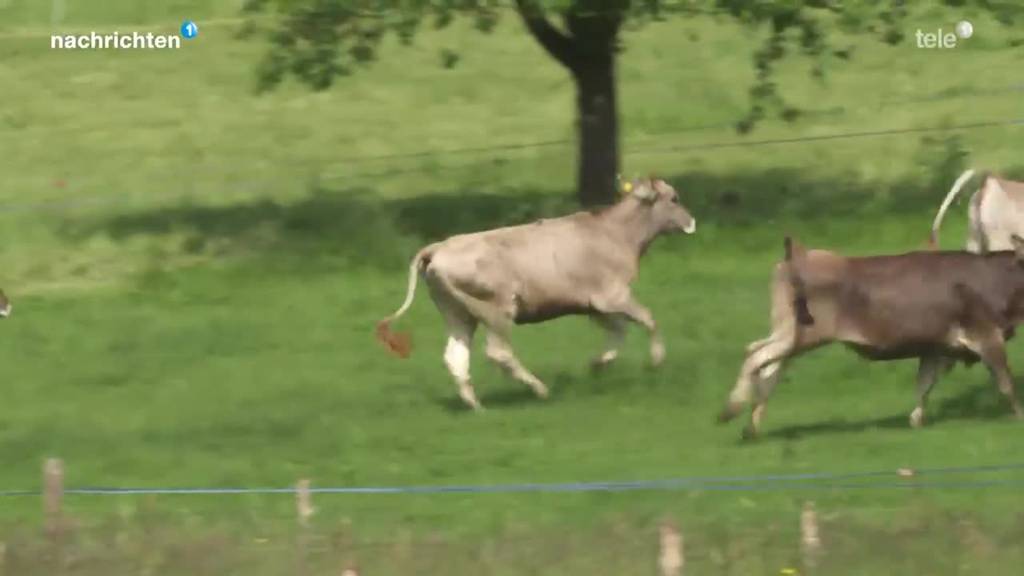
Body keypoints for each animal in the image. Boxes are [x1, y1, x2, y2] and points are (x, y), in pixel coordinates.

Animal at [376, 177, 696, 409]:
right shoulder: (612, 296)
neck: (614, 233)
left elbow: (618, 331)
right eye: (674, 199)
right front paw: (656, 360)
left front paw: (598, 363)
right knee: (498, 353)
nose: (692, 221)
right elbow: (648, 319)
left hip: (458, 314)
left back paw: (475, 405)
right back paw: (540, 390)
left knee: (455, 356)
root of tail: (439, 247)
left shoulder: (594, 306)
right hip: (496, 309)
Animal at [716, 233, 1024, 434]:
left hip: (788, 332)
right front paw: (1019, 416)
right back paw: (731, 408)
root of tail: (800, 254)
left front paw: (915, 421)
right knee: (756, 355)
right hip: (802, 335)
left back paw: (751, 426)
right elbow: (1006, 382)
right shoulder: (986, 335)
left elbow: (924, 385)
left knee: (768, 364)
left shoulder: (935, 346)